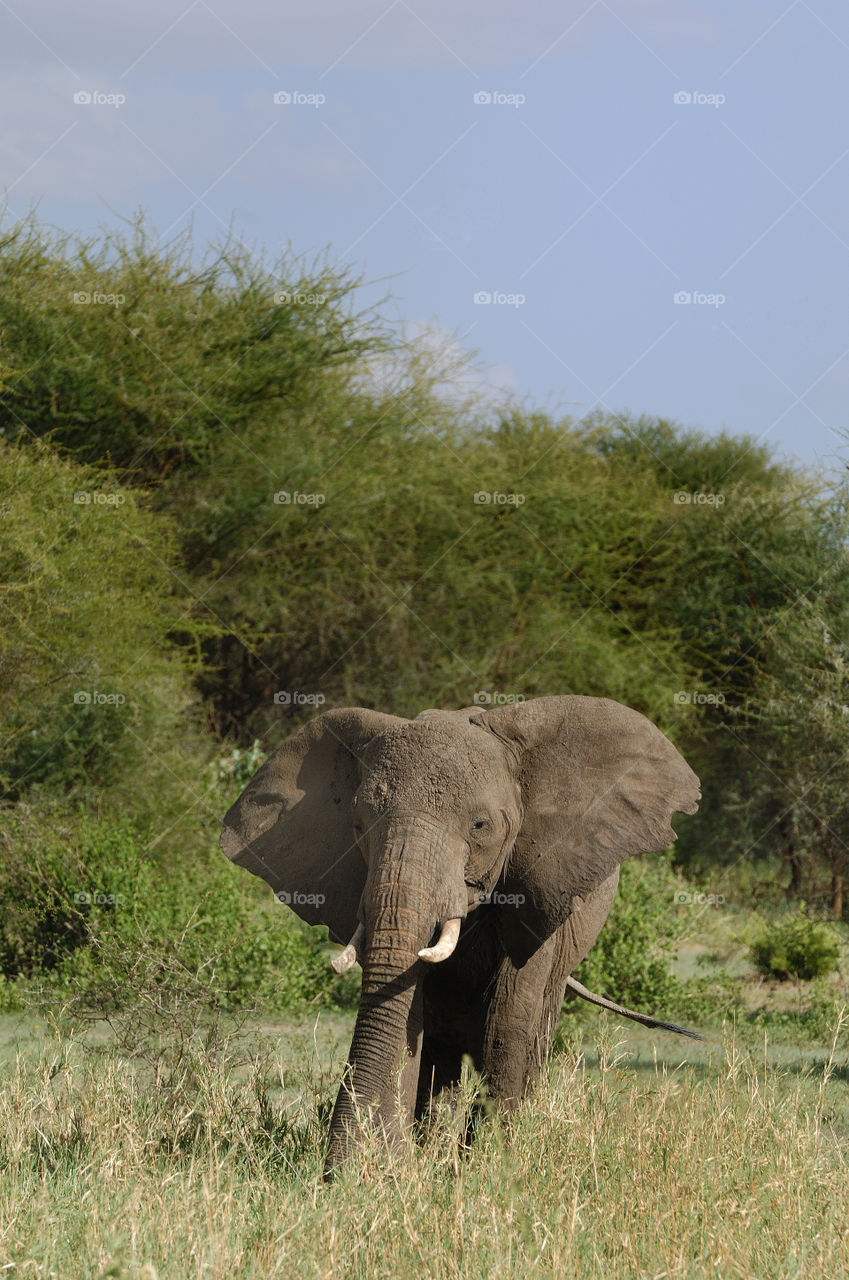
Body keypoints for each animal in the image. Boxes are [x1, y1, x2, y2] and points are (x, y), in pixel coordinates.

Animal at [217, 696, 696, 1172]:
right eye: (357, 825)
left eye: (480, 826)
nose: (338, 1173)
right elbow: (412, 1008)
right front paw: (401, 1163)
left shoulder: (541, 886)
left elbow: (508, 1014)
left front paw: (490, 1165)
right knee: (443, 1042)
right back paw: (433, 1146)